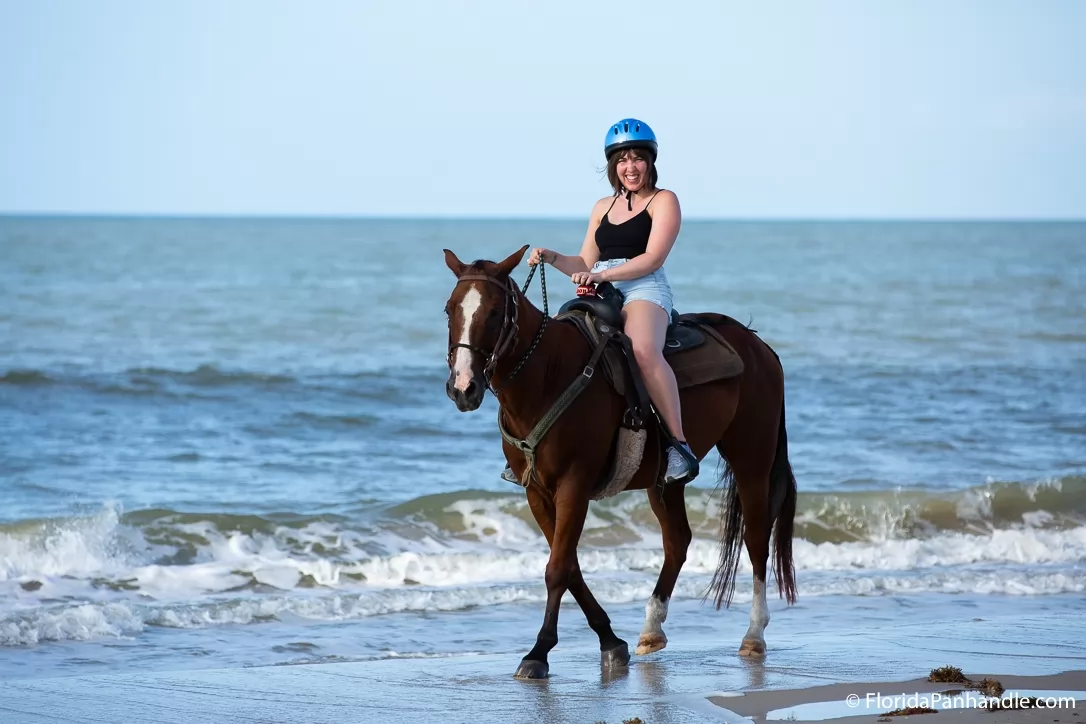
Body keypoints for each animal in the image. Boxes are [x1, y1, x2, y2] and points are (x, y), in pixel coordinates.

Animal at [442, 244, 797, 679]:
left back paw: (754, 635)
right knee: (678, 541)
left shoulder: (574, 484)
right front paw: (610, 640)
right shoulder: (537, 491)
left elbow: (558, 568)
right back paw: (651, 629)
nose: (463, 388)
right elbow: (569, 565)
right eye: (450, 310)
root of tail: (758, 345)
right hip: (664, 481)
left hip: (752, 457)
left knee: (756, 538)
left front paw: (539, 653)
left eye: (494, 312)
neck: (549, 375)